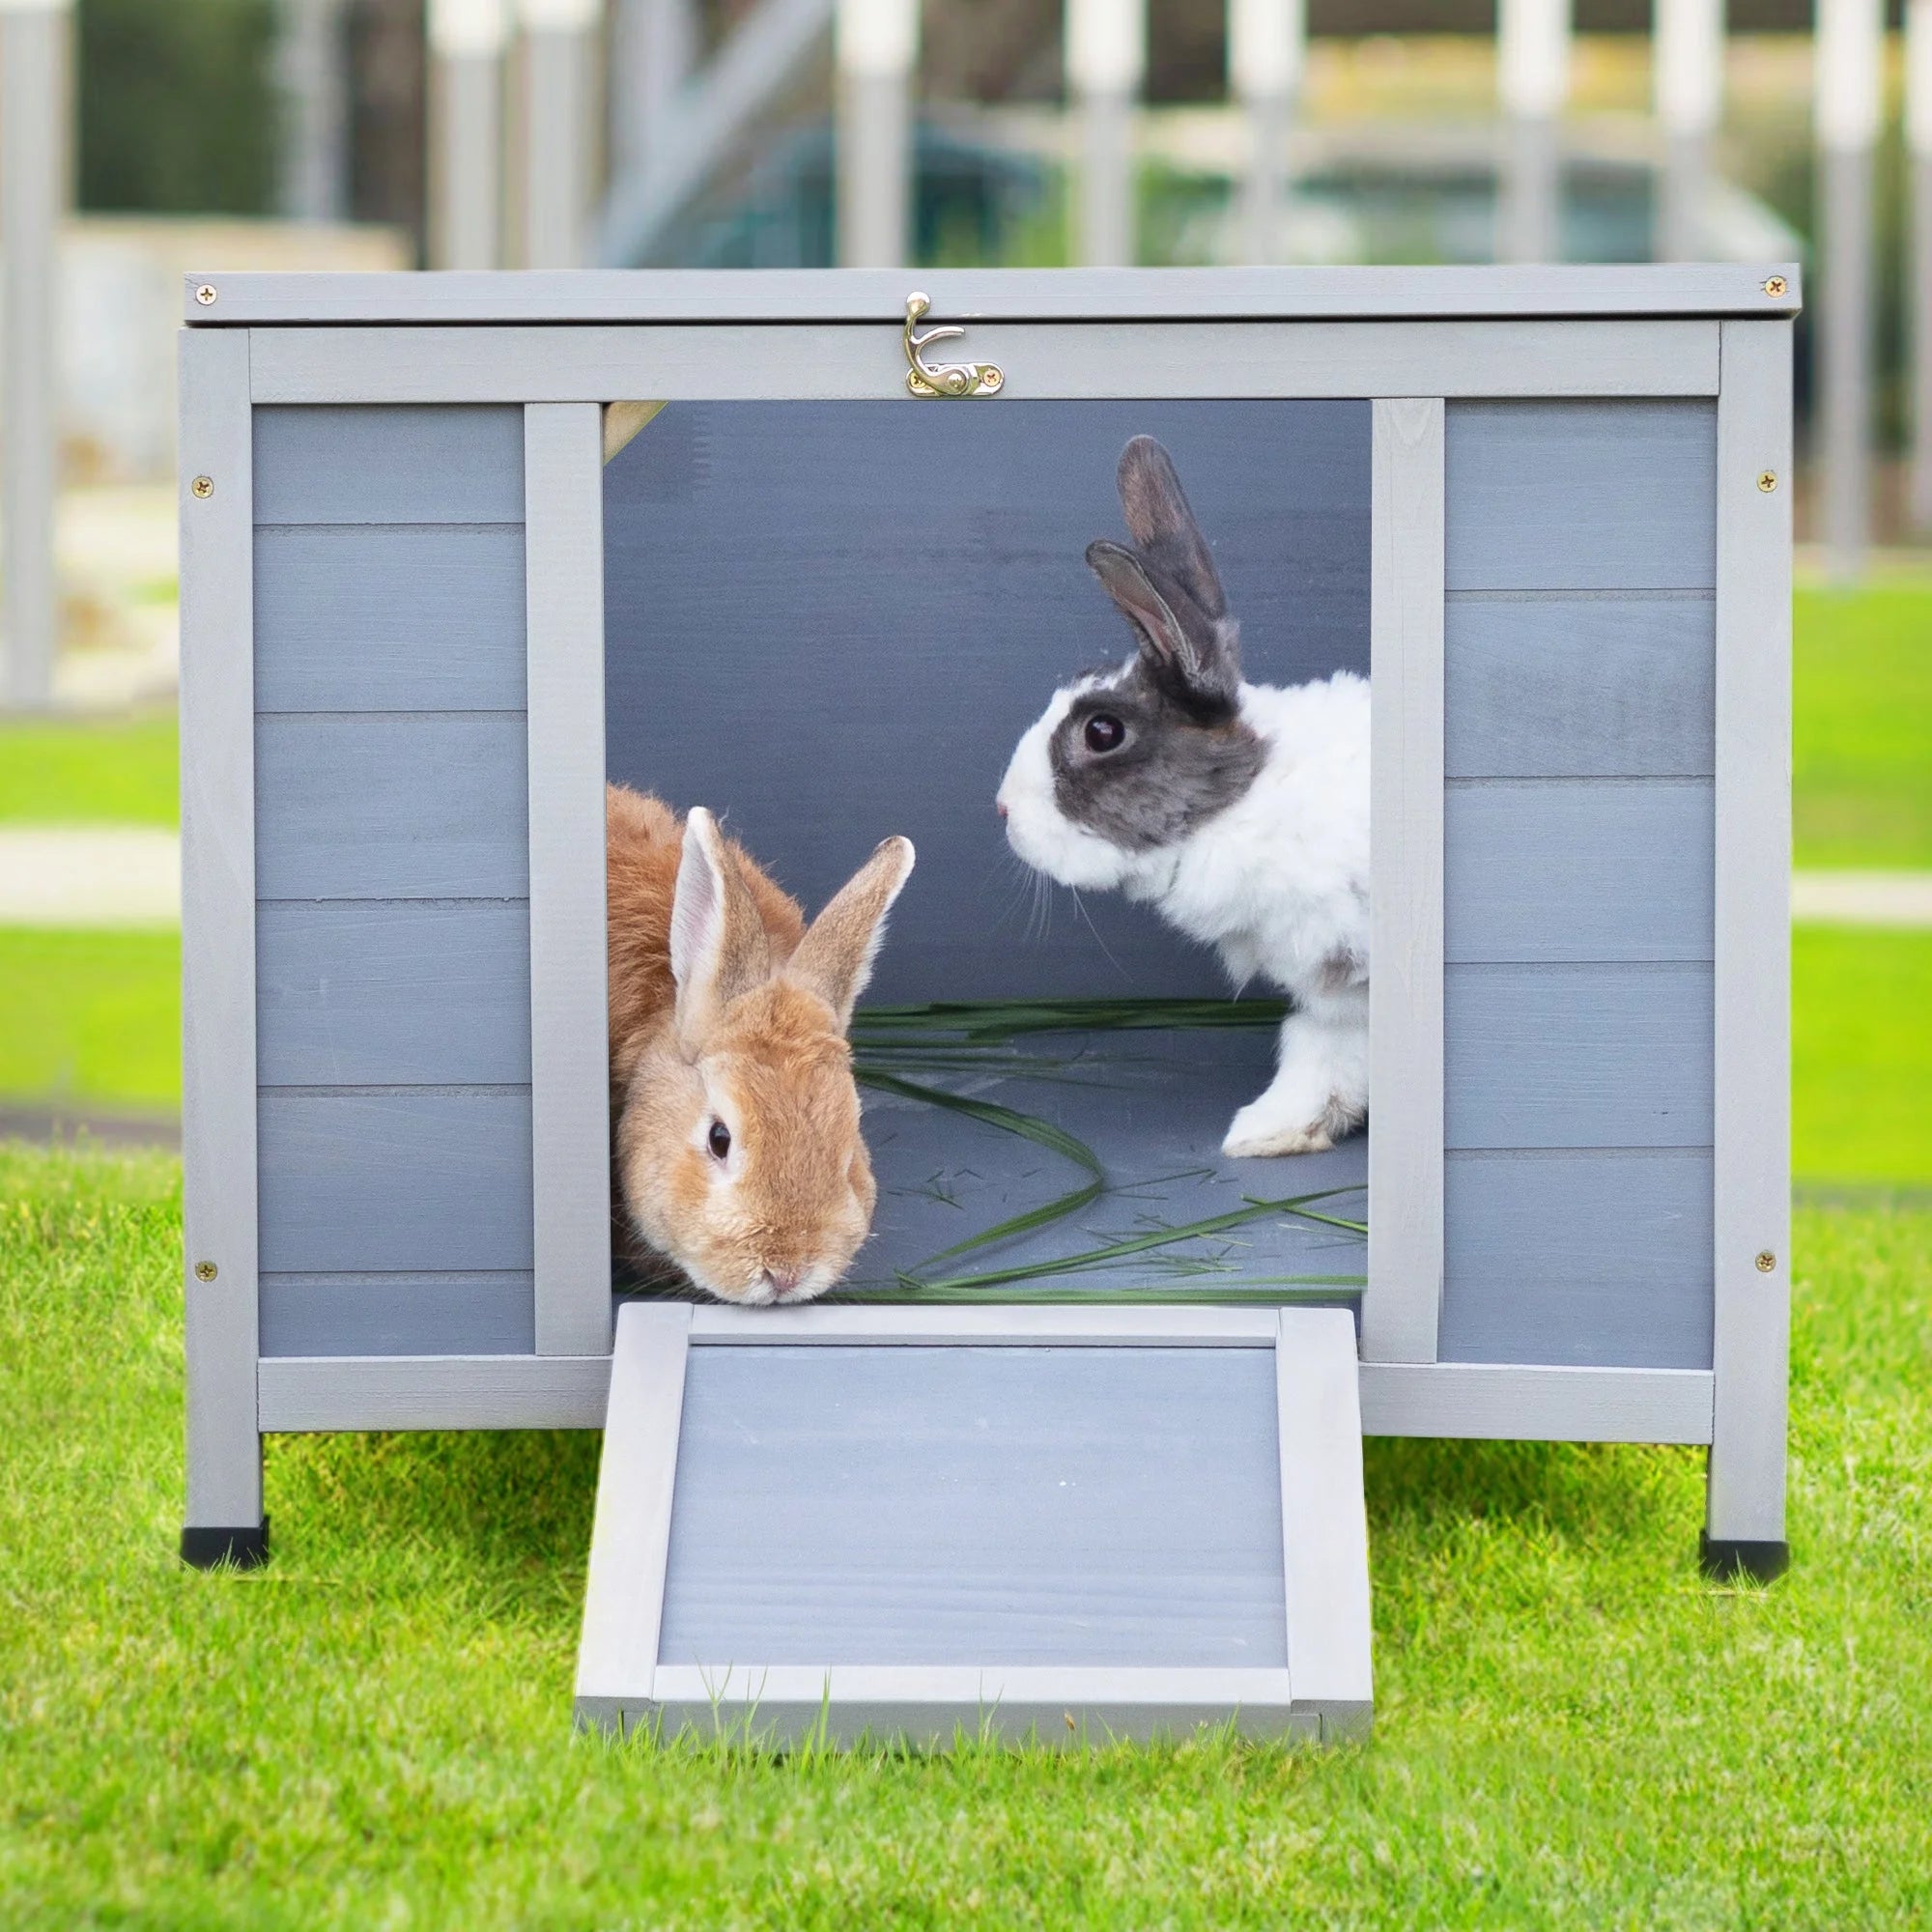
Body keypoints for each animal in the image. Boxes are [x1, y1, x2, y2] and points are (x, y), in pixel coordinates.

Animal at [997, 437, 1376, 1151]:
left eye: (1103, 731)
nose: (1002, 808)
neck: (1247, 801)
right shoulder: (1335, 1002)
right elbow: (1318, 1054)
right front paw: (1266, 1133)